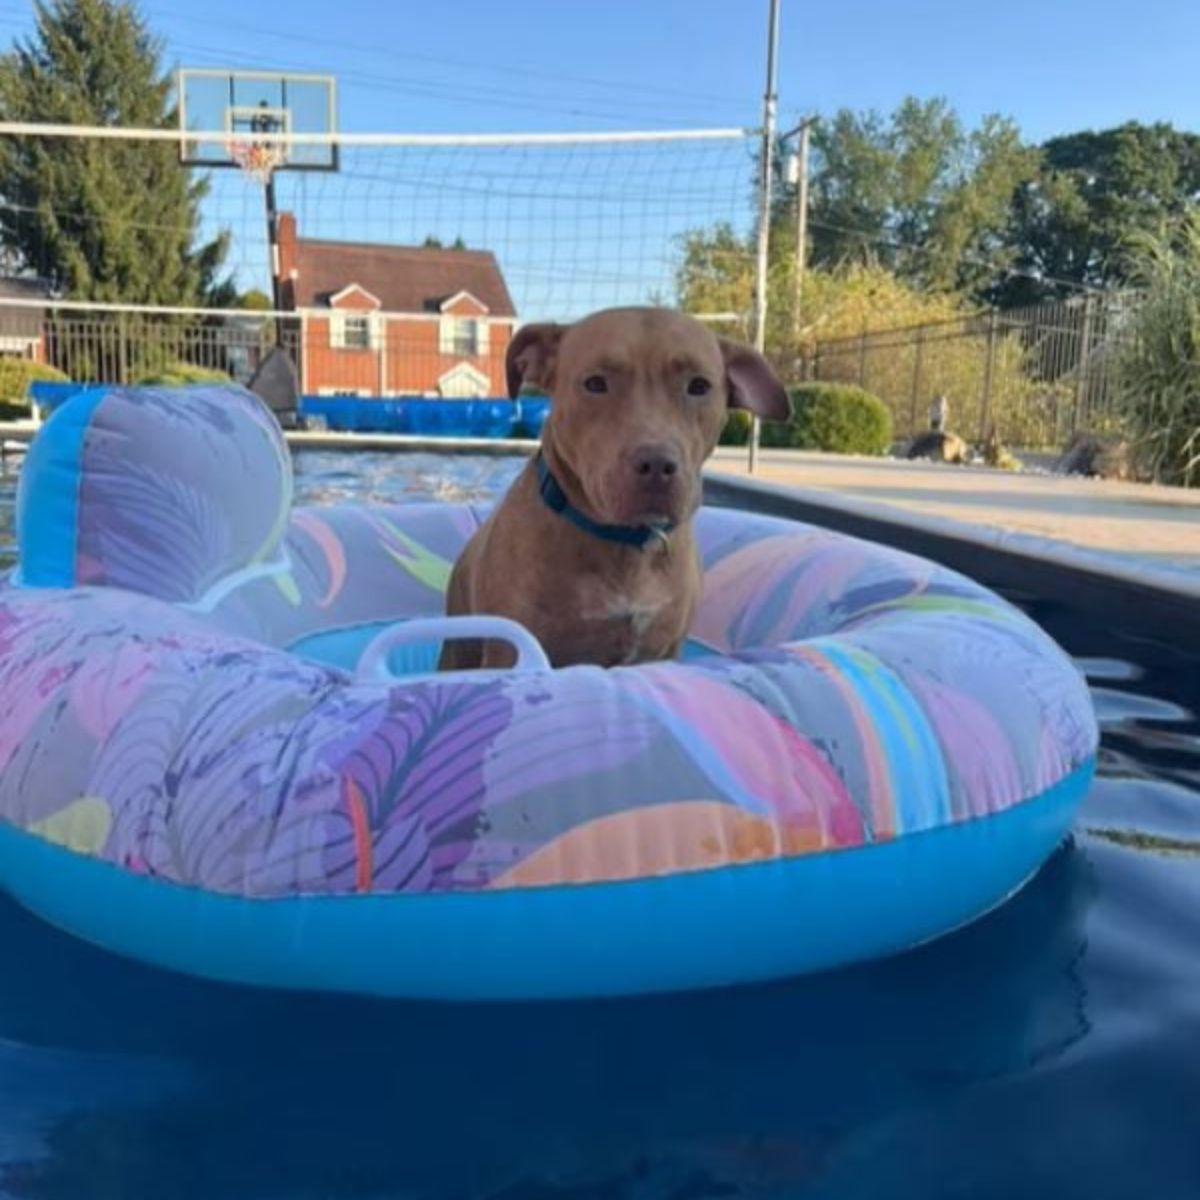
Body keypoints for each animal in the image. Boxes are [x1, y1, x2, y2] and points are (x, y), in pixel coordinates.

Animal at [436, 304, 792, 672]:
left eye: (698, 385)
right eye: (595, 383)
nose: (656, 465)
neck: (622, 545)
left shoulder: (661, 651)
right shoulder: (510, 654)